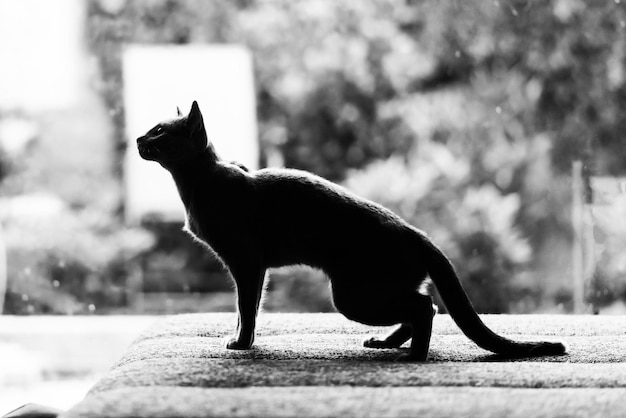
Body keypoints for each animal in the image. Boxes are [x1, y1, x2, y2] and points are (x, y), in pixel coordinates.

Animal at [138, 101, 564, 360]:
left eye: (159, 131)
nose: (139, 138)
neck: (199, 183)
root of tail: (418, 234)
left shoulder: (247, 262)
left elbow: (246, 308)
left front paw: (241, 344)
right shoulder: (252, 268)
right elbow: (248, 309)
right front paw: (241, 339)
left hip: (350, 295)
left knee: (424, 307)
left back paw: (414, 356)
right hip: (368, 291)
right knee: (425, 307)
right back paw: (387, 344)